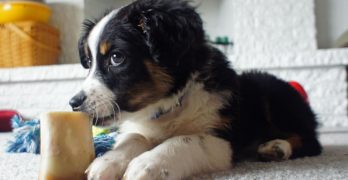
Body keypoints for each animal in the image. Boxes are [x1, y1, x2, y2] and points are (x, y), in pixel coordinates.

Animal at [69, 0, 322, 179]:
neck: (170, 105)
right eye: (89, 62)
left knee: (310, 141)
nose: (73, 103)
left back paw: (277, 147)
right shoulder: (141, 127)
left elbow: (186, 140)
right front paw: (107, 162)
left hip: (271, 93)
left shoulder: (223, 140)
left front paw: (147, 165)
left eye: (116, 57)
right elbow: (133, 137)